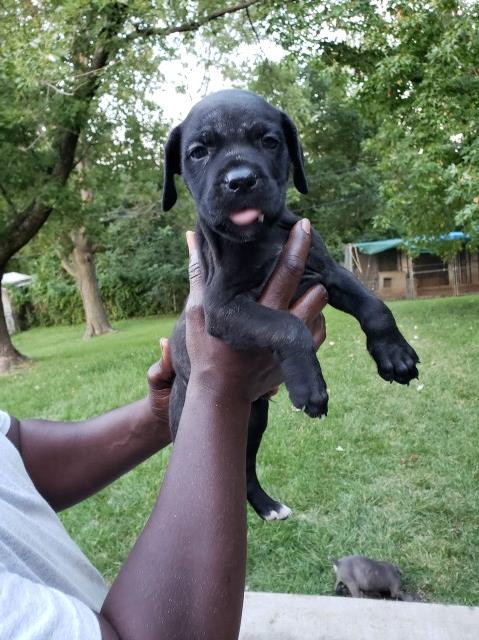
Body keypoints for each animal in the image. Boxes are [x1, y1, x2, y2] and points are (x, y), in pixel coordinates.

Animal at [163, 89, 418, 520]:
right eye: (198, 152)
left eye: (269, 141)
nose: (240, 180)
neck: (261, 237)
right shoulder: (223, 308)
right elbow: (287, 326)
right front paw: (310, 386)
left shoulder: (329, 272)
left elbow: (374, 307)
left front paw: (394, 354)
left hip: (255, 421)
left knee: (245, 467)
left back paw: (266, 506)